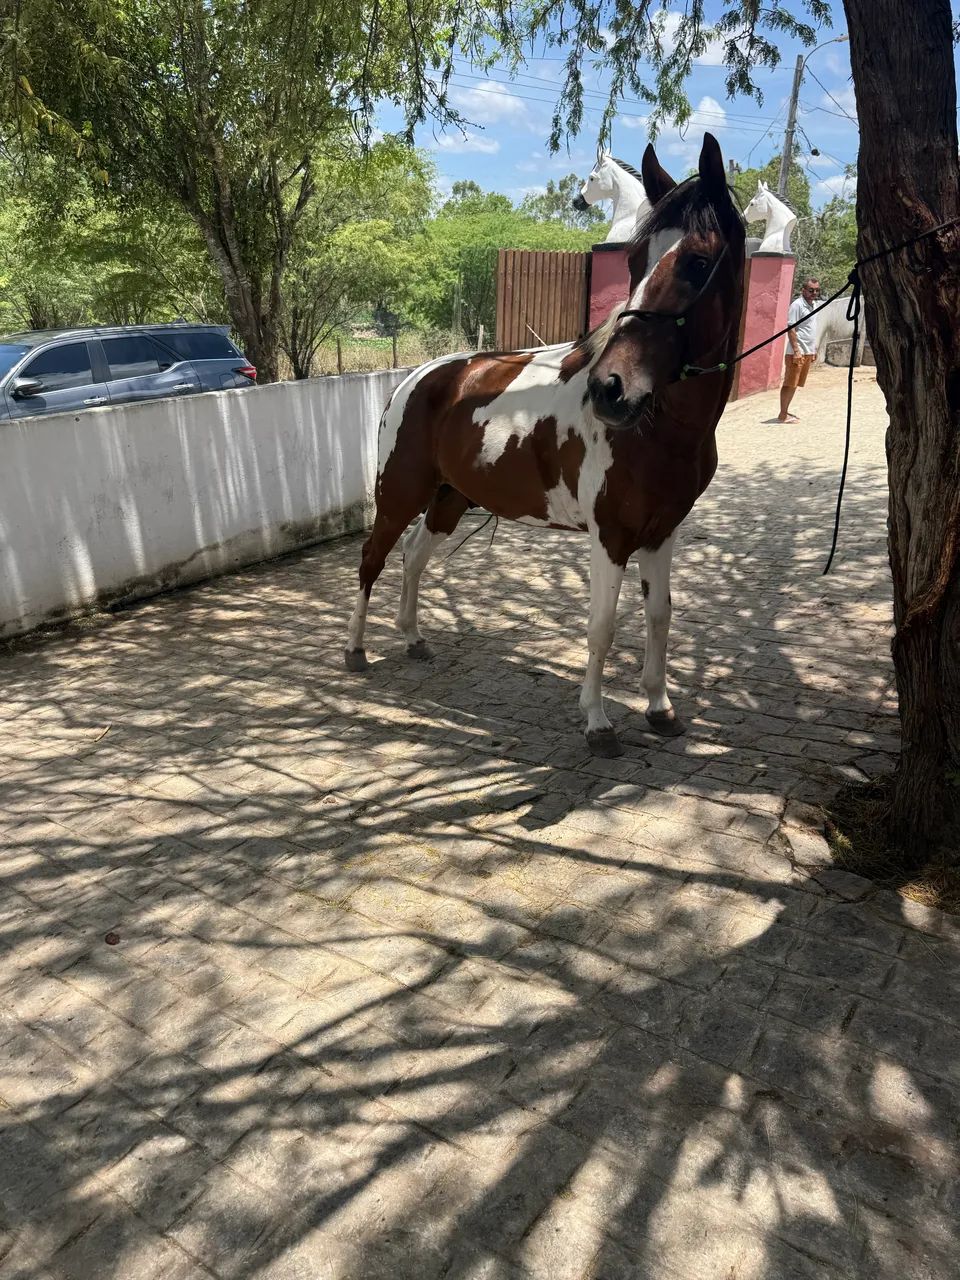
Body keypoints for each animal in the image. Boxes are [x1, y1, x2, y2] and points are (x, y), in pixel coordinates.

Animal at [345, 133, 746, 759]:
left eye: (698, 262)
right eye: (635, 260)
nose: (611, 389)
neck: (659, 430)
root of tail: (422, 376)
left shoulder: (661, 532)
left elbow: (660, 616)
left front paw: (660, 709)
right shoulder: (611, 537)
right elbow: (602, 627)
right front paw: (598, 723)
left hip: (450, 498)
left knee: (413, 557)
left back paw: (412, 639)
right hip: (401, 494)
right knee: (373, 558)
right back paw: (356, 650)